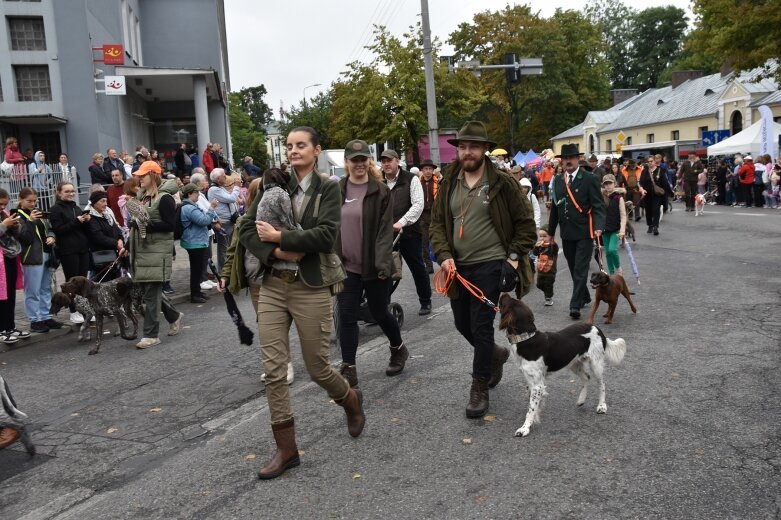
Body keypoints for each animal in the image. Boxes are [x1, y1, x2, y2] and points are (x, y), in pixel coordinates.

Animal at [500, 294, 628, 436]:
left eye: (506, 302)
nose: (504, 293)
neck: (527, 338)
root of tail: (598, 329)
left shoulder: (537, 385)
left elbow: (531, 409)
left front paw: (525, 428)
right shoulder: (530, 380)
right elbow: (533, 403)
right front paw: (535, 419)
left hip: (596, 364)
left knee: (602, 384)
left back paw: (602, 406)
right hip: (574, 363)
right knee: (586, 378)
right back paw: (581, 400)